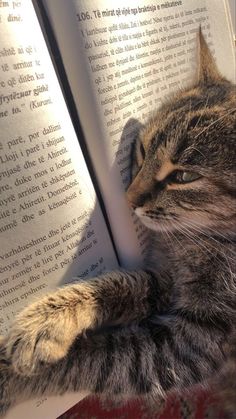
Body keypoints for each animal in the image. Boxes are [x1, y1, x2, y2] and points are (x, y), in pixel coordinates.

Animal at [0, 30, 236, 416]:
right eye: (142, 150)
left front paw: (9, 375)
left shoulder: (192, 343)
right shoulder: (166, 277)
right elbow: (119, 284)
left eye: (184, 176)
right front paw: (49, 318)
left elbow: (100, 357)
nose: (127, 199)